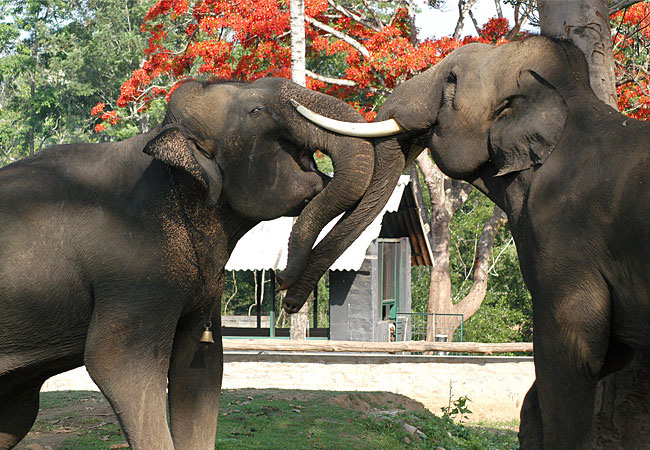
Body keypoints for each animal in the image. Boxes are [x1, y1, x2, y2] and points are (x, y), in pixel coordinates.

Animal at [0, 77, 373, 450]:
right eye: (256, 110)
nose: (286, 290)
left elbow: (202, 369)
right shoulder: (131, 278)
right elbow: (115, 363)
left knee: (16, 417)